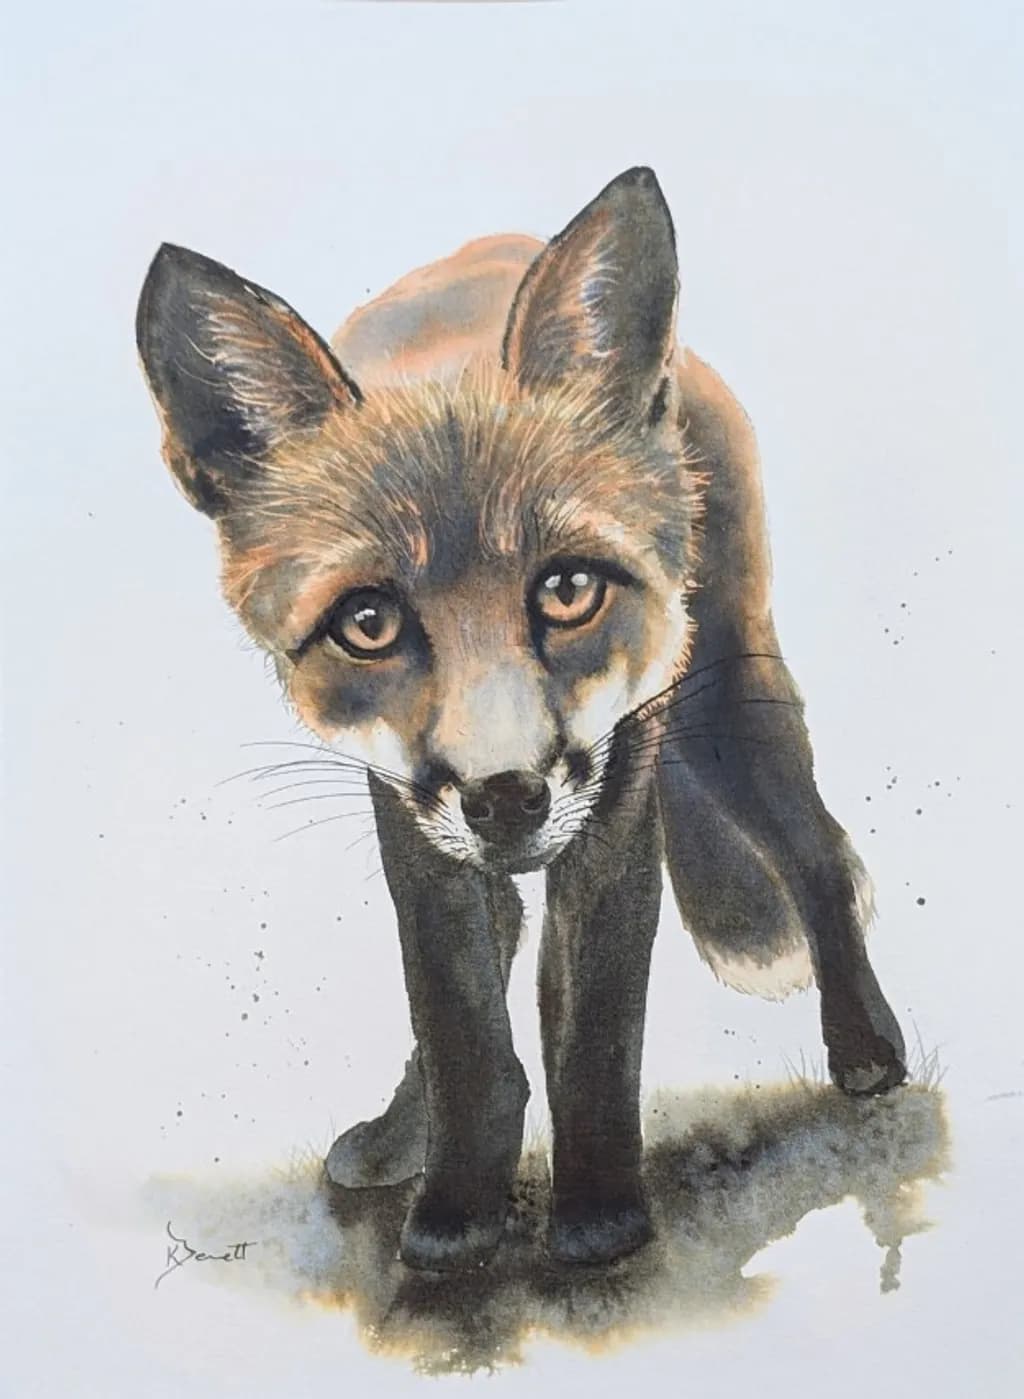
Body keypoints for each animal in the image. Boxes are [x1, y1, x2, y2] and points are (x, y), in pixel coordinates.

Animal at [136, 167, 907, 1273]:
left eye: (569, 590)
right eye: (368, 623)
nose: (506, 798)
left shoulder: (616, 796)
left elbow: (589, 1026)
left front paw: (597, 1218)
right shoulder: (409, 813)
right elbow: (460, 1019)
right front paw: (456, 1208)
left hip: (726, 693)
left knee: (814, 850)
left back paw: (865, 1046)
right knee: (494, 941)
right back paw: (395, 1137)